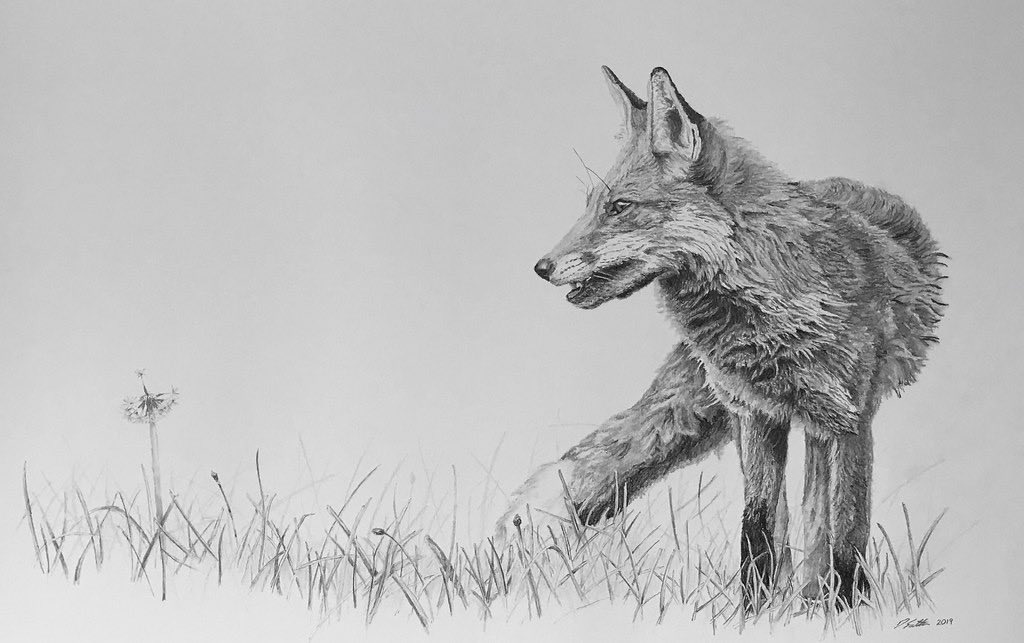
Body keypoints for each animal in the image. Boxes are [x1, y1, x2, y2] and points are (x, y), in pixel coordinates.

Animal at [499, 66, 945, 609]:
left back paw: (813, 599)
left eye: (620, 207)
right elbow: (758, 531)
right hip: (730, 412)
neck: (772, 318)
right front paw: (756, 614)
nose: (541, 268)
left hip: (814, 424)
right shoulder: (755, 413)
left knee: (816, 516)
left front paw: (847, 611)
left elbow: (846, 535)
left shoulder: (851, 419)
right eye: (591, 206)